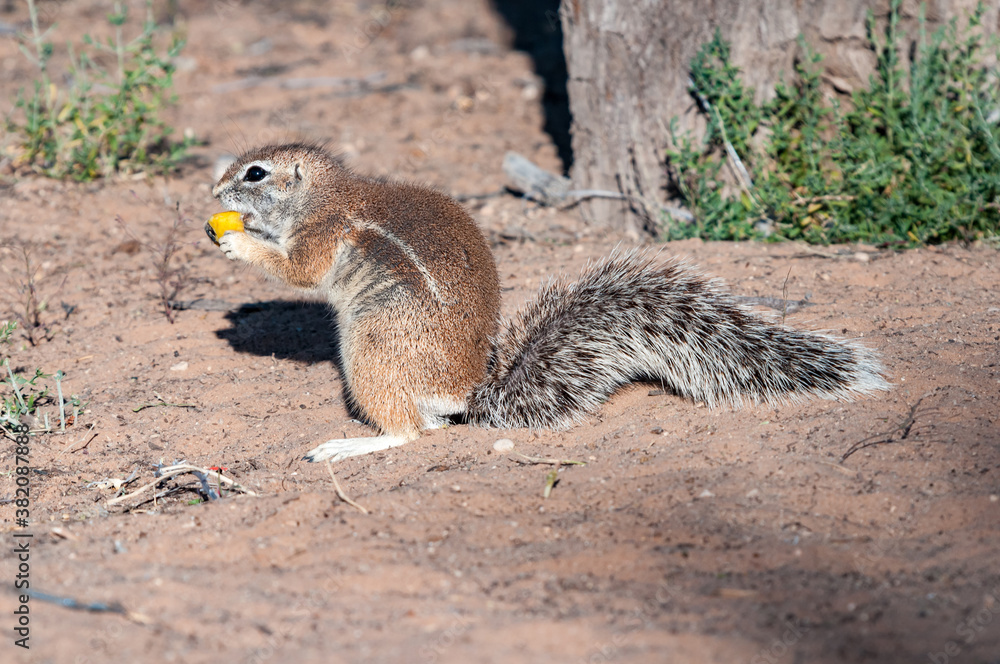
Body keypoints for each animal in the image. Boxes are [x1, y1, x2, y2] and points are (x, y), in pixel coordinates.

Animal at [210, 143, 889, 463]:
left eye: (254, 174)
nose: (212, 193)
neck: (328, 198)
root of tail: (469, 390)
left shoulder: (320, 238)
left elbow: (296, 270)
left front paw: (237, 241)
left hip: (369, 351)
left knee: (411, 433)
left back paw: (348, 445)